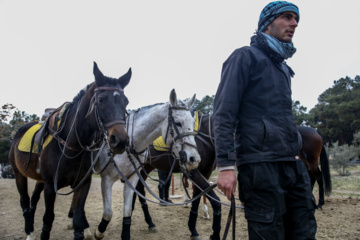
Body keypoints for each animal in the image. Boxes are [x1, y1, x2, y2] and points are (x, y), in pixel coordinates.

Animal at [8, 62, 131, 240]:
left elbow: (78, 218)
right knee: (24, 201)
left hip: (39, 179)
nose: (120, 140)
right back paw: (29, 232)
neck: (71, 145)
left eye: (125, 102)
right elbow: (48, 218)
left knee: (33, 200)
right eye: (101, 99)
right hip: (19, 174)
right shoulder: (50, 185)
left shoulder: (83, 183)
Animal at [68, 88, 201, 240]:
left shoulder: (132, 178)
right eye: (178, 123)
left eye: (193, 122)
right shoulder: (106, 180)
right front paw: (99, 231)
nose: (194, 158)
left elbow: (127, 211)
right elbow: (108, 213)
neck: (128, 145)